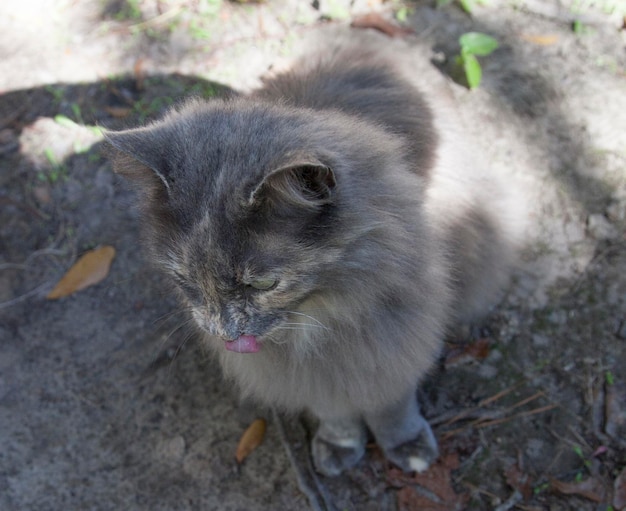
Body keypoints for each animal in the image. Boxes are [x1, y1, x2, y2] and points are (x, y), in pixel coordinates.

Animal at [105, 32, 520, 478]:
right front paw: (340, 444)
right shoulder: (312, 373)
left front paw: (405, 444)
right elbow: (333, 411)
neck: (318, 317)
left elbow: (392, 403)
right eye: (185, 281)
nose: (225, 332)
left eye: (264, 283)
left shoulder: (393, 341)